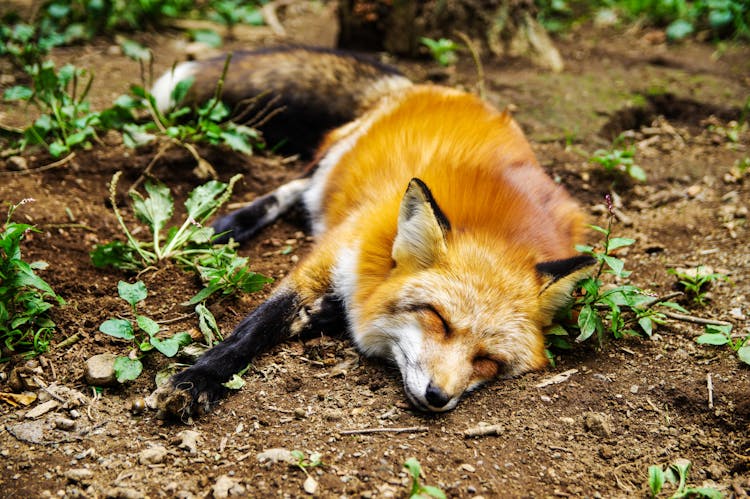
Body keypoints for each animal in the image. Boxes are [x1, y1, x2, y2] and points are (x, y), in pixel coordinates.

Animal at [154, 47, 592, 418]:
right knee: (299, 185)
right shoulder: (331, 252)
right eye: (438, 319)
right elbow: (255, 327)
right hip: (334, 158)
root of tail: (428, 87)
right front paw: (199, 379)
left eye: (488, 360)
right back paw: (230, 226)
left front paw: (323, 313)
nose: (438, 396)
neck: (498, 231)